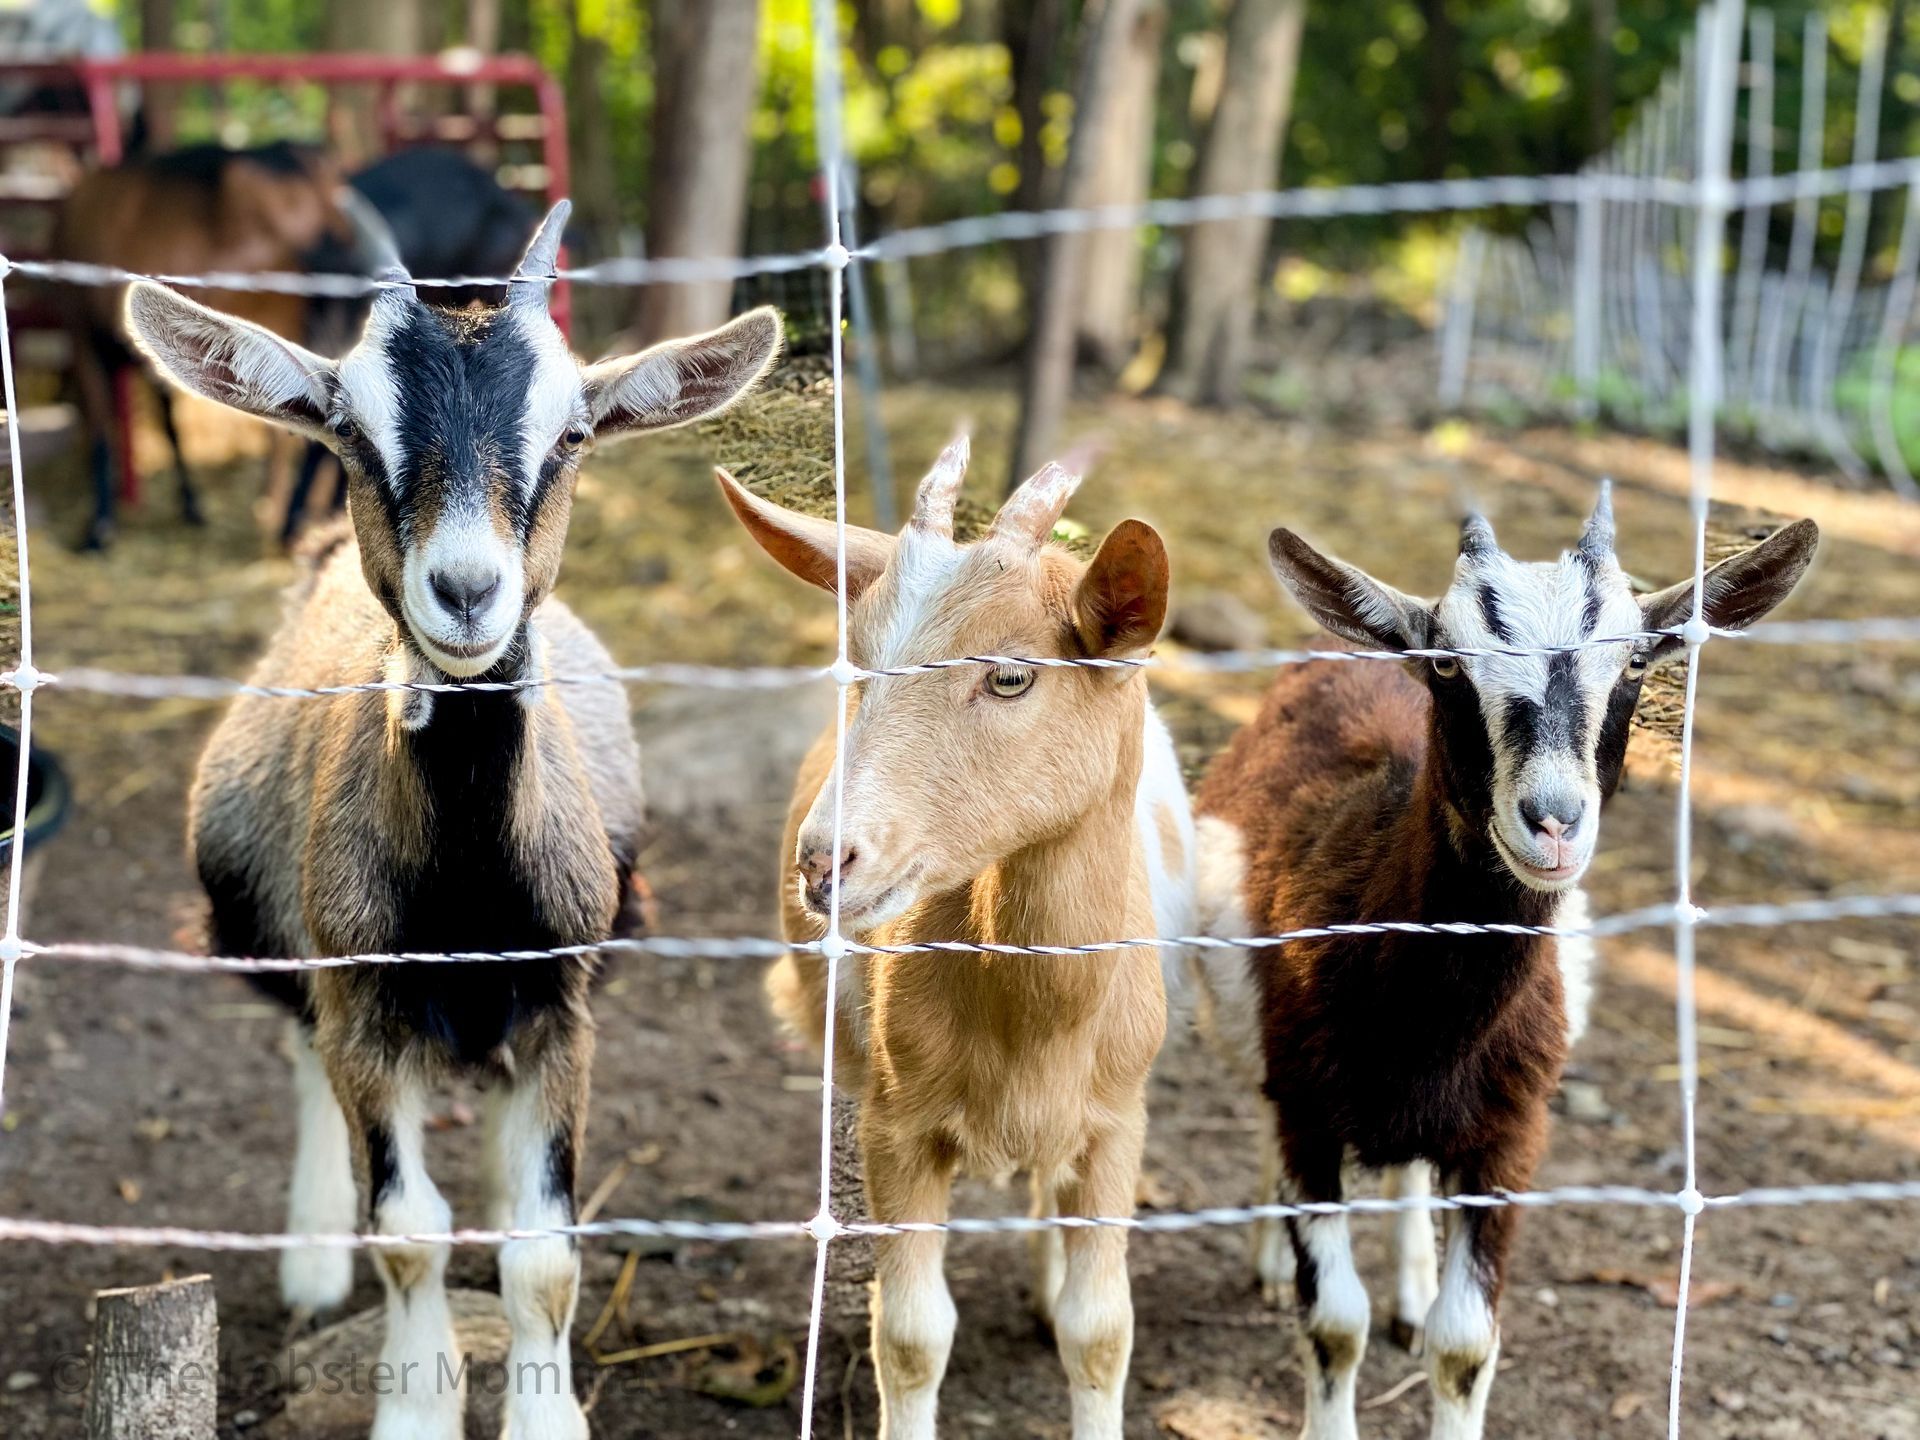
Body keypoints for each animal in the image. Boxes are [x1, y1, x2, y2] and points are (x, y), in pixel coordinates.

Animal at [52, 141, 384, 549]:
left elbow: (104, 428)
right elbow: (165, 422)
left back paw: (288, 519)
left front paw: (99, 527)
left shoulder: (83, 335)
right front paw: (189, 505)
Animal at [123, 202, 782, 1440]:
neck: (470, 887)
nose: (468, 592)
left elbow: (545, 1250)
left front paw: (548, 1414)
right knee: (304, 1063)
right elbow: (407, 1231)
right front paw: (414, 1405)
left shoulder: (563, 1006)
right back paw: (311, 1259)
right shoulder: (364, 998)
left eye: (572, 434)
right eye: (348, 428)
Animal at [718, 442, 1197, 1440]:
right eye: (857, 663)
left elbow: (1103, 1329)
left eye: (1010, 675)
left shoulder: (1118, 1122)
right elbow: (910, 1335)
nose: (824, 862)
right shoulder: (896, 1128)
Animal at [1188, 492, 1818, 1440]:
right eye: (1448, 662)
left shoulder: (1509, 1134)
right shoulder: (1308, 1112)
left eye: (1637, 660)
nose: (1552, 820)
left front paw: (1430, 1315)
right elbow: (1333, 1325)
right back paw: (1267, 1256)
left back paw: (1411, 1289)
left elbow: (1466, 1343)